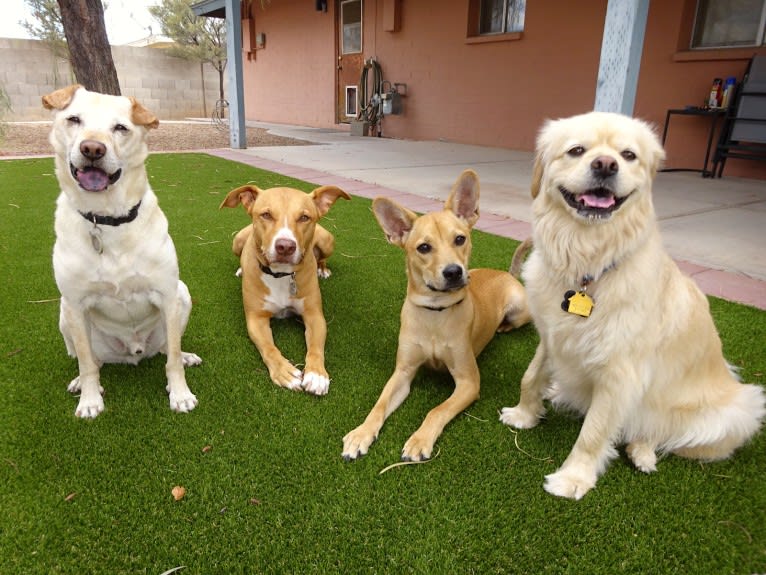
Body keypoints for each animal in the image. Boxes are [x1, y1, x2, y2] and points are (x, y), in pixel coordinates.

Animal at [222, 183, 352, 396]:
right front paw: (284, 372)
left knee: (323, 257)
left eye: (304, 217)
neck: (281, 275)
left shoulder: (314, 315)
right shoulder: (256, 319)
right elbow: (269, 347)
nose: (285, 246)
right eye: (266, 215)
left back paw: (322, 269)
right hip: (237, 240)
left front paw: (317, 374)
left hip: (327, 240)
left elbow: (316, 346)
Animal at [344, 169, 532, 462]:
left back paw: (503, 327)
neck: (435, 313)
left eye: (460, 239)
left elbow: (437, 410)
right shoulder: (403, 371)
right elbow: (379, 404)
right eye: (423, 247)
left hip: (519, 306)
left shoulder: (468, 382)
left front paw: (420, 440)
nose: (453, 272)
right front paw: (361, 433)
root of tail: (505, 273)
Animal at [500, 111, 764, 500]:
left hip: (741, 408)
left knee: (660, 432)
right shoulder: (552, 337)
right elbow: (531, 376)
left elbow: (594, 432)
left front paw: (573, 478)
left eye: (628, 155)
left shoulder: (620, 374)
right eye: (576, 150)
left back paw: (642, 452)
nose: (606, 165)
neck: (587, 264)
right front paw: (523, 415)